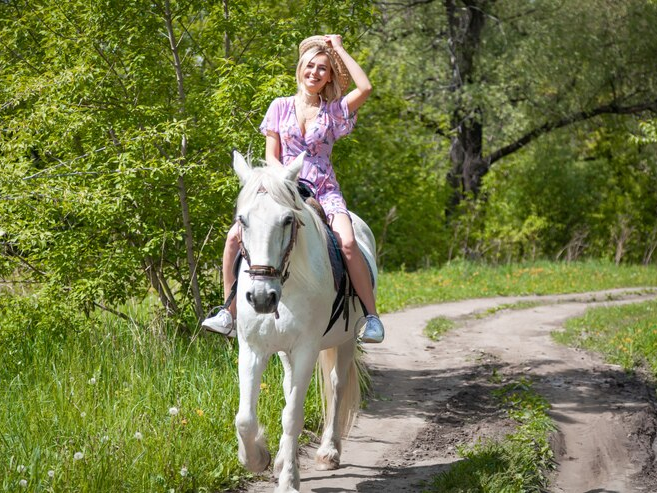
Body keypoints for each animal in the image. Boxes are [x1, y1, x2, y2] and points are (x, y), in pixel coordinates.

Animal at [229, 150, 374, 492]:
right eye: (242, 220)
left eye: (287, 220)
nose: (261, 298)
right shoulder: (252, 348)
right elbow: (245, 417)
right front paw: (258, 458)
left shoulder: (307, 348)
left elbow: (293, 414)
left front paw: (287, 482)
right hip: (286, 351)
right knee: (287, 387)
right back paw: (284, 458)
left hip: (346, 340)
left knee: (337, 385)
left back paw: (328, 452)